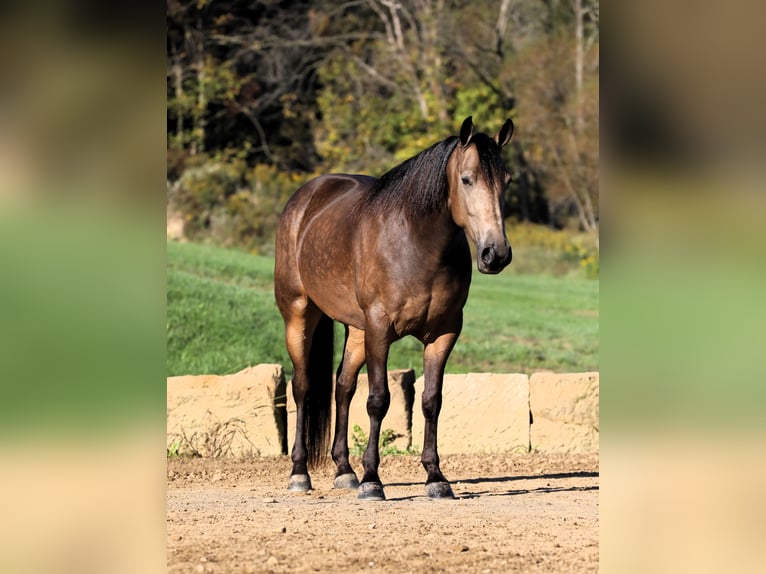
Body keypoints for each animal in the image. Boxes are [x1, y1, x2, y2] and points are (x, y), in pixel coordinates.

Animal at [276, 116, 516, 500]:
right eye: (467, 179)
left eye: (506, 181)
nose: (496, 254)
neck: (415, 243)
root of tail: (306, 197)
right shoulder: (380, 328)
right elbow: (378, 400)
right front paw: (373, 479)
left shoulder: (444, 333)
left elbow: (432, 401)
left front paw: (435, 477)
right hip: (299, 315)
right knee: (303, 386)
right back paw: (300, 473)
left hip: (357, 331)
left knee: (342, 387)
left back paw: (344, 470)